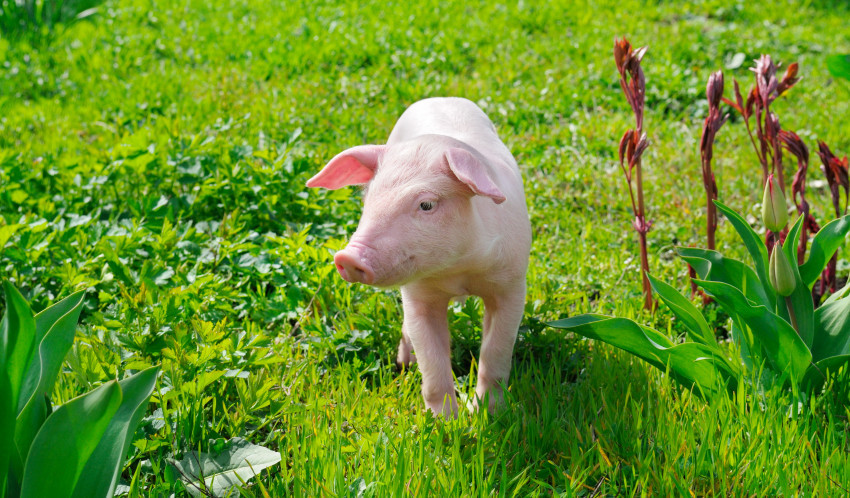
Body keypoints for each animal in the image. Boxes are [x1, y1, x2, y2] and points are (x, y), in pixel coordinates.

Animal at [304, 97, 528, 416]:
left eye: (426, 204)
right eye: (368, 199)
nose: (348, 257)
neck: (458, 270)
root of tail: (442, 98)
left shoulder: (511, 284)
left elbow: (495, 352)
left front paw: (487, 413)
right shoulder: (418, 295)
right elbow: (431, 361)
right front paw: (446, 421)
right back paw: (404, 363)